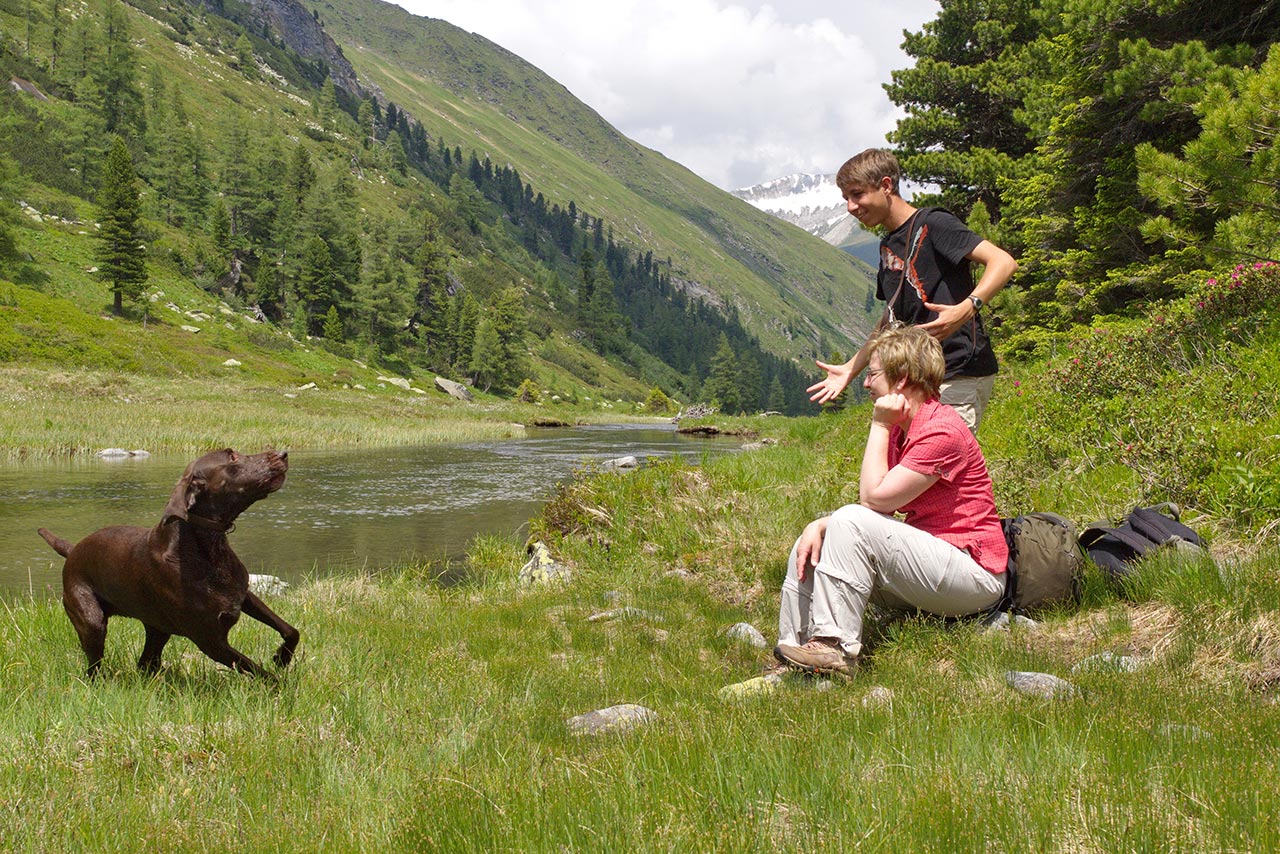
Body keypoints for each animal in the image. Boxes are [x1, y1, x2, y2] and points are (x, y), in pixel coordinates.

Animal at [38, 448, 299, 681]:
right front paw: (283, 688)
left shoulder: (242, 595)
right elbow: (262, 673)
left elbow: (291, 630)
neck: (209, 549)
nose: (283, 453)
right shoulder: (211, 642)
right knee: (94, 669)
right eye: (232, 457)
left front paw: (281, 658)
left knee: (145, 664)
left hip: (158, 628)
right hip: (92, 622)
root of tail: (73, 550)